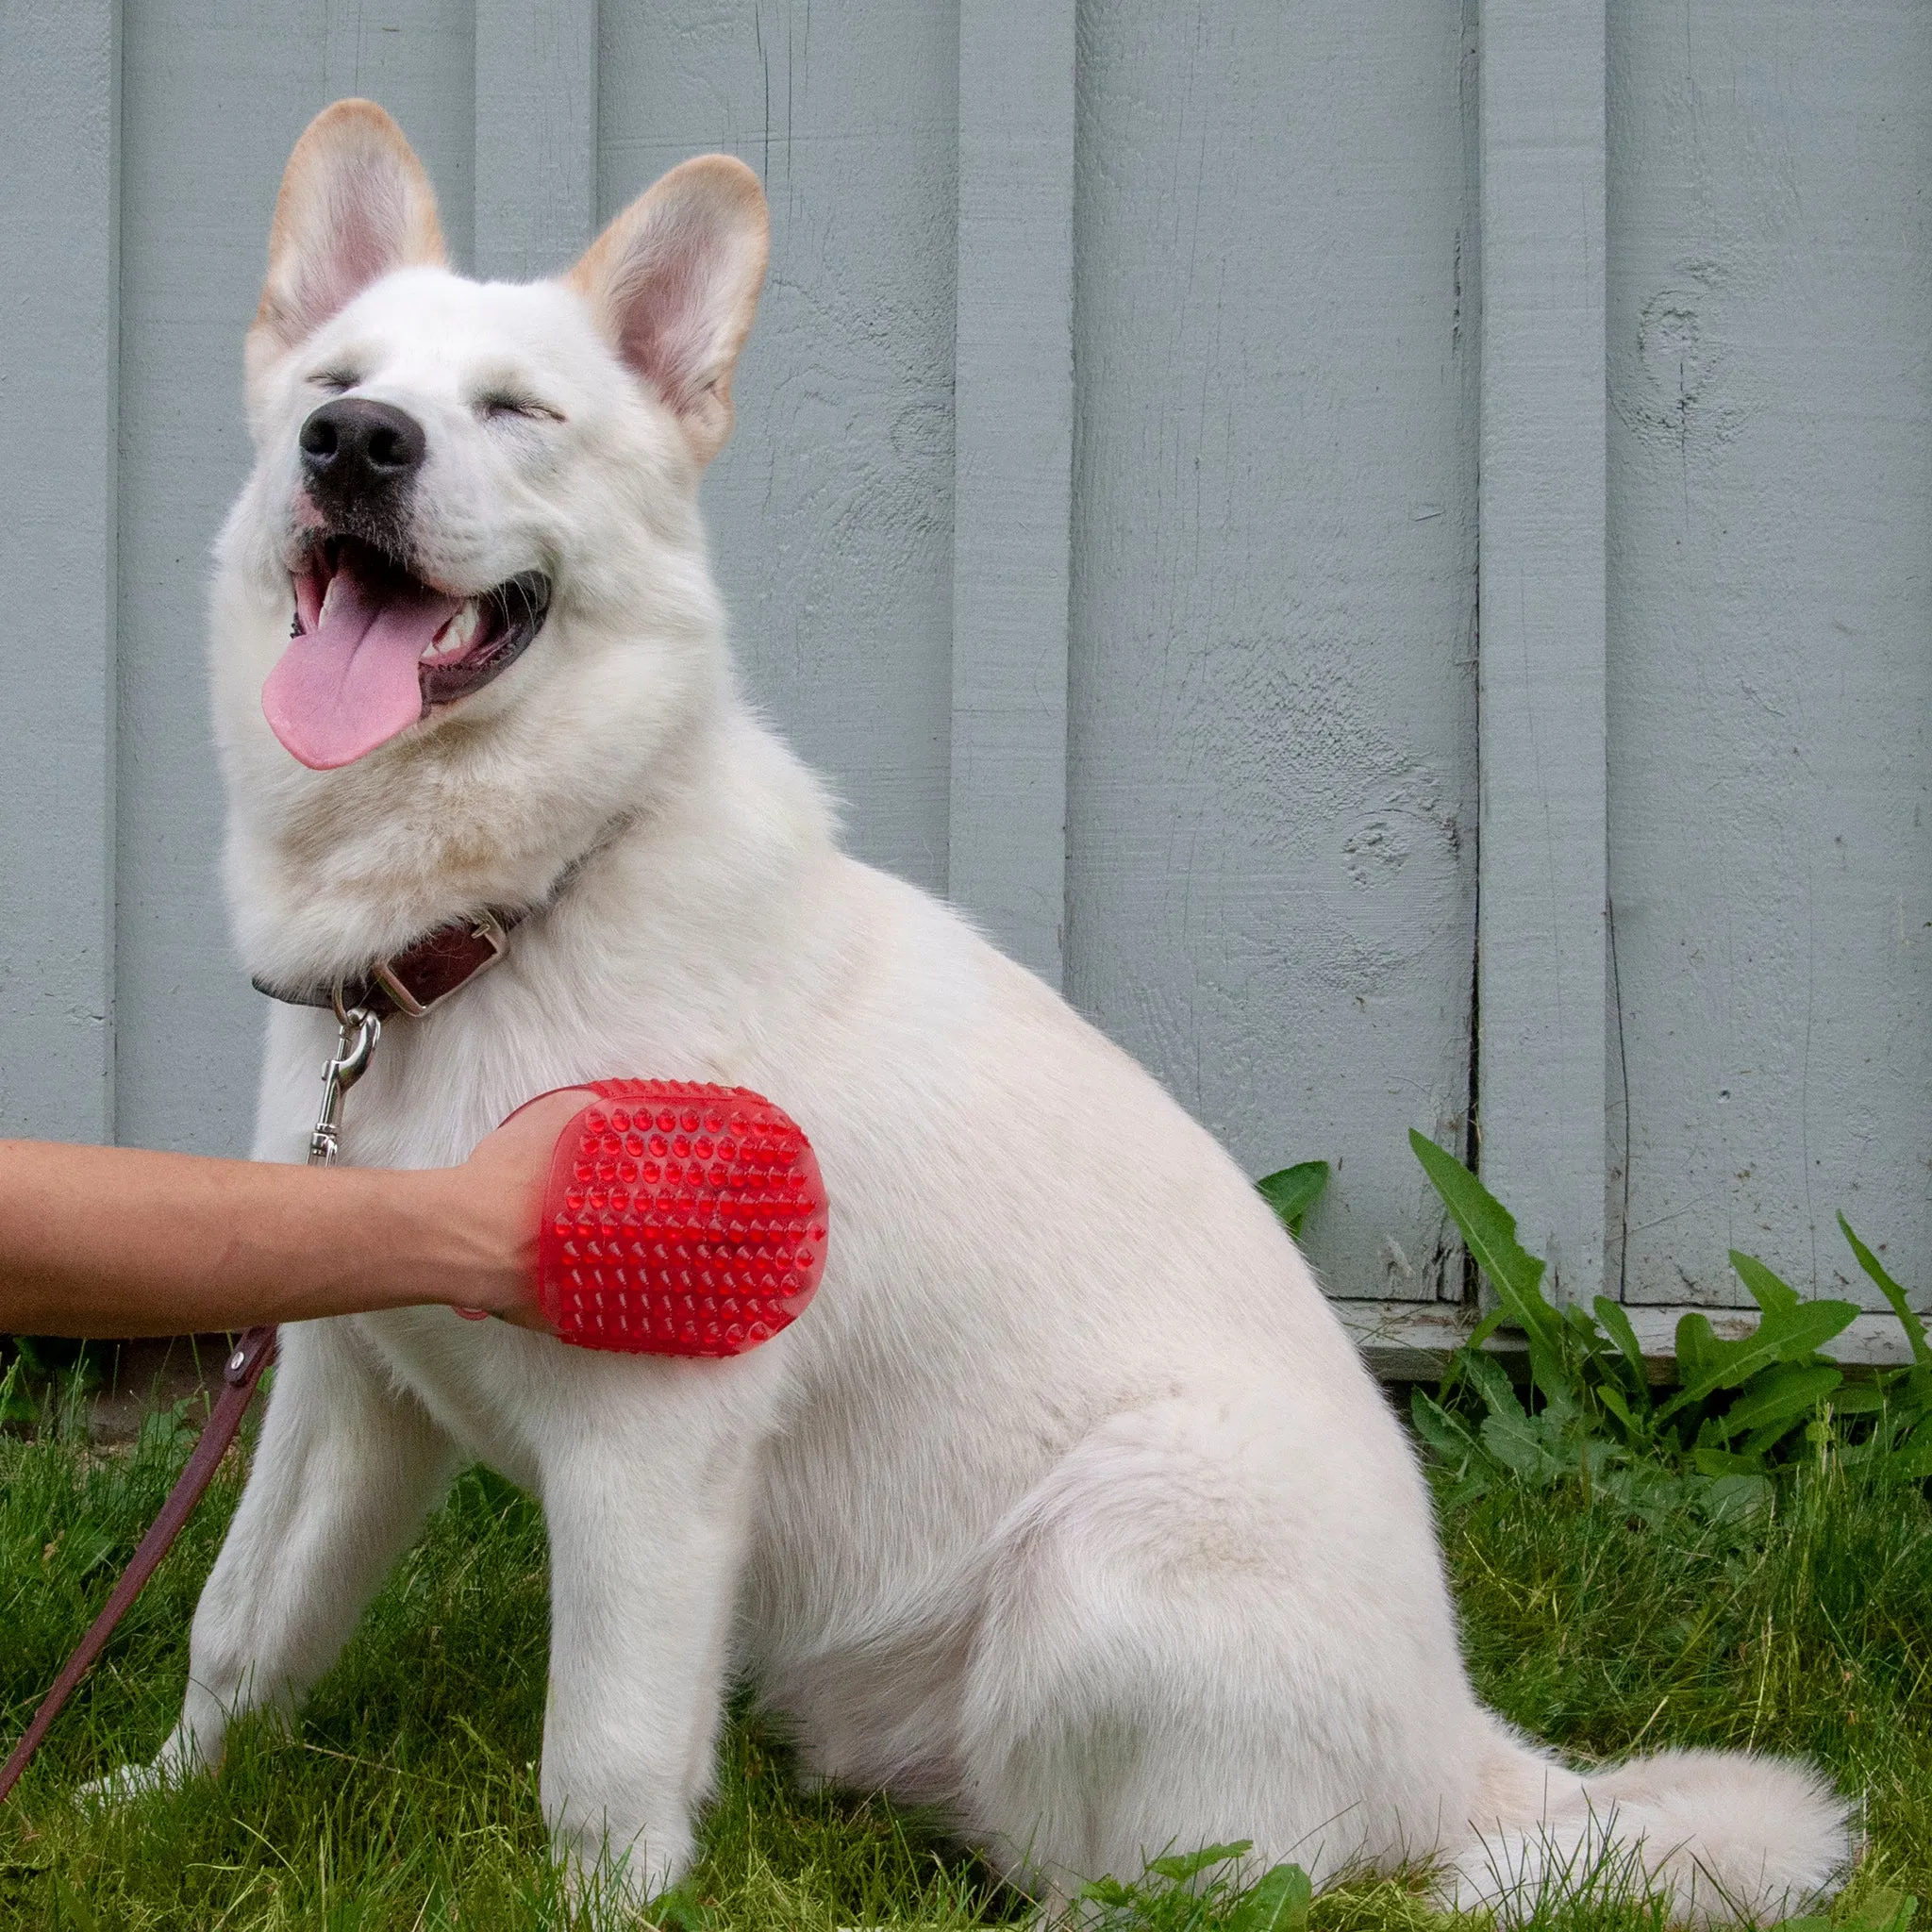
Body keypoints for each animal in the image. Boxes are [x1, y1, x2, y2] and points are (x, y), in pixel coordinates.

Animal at [97, 102, 1846, 1916]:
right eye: (334, 384)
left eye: (518, 412)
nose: (355, 446)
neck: (497, 923)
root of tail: (1460, 1753)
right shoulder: (346, 1386)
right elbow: (238, 1629)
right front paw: (140, 1807)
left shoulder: (651, 1448)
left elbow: (604, 1756)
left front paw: (600, 1903)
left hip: (1106, 1541)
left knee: (1187, 1886)